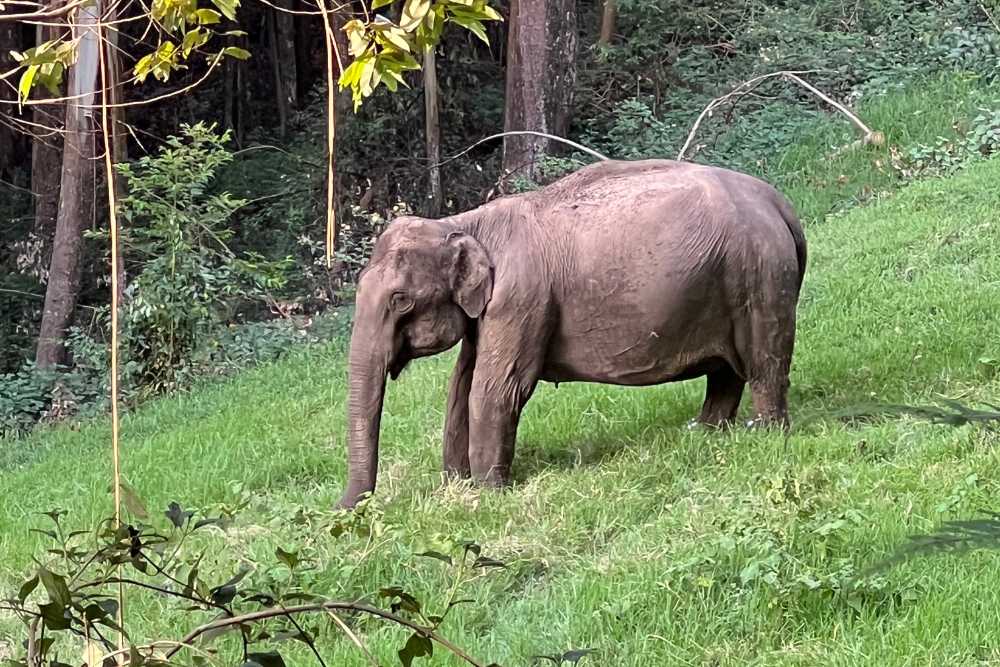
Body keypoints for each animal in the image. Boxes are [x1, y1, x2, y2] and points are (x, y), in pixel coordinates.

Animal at [338, 158, 807, 509]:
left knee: (764, 361)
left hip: (761, 277)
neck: (468, 222)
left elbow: (496, 388)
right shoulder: (487, 313)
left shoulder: (520, 299)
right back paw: (704, 433)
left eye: (400, 300)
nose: (346, 511)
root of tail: (780, 204)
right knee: (727, 370)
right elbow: (461, 384)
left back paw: (765, 435)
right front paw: (457, 486)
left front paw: (489, 494)